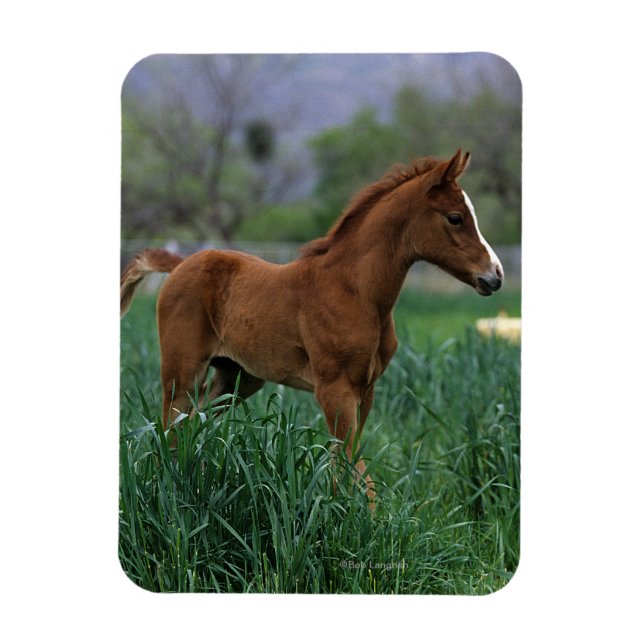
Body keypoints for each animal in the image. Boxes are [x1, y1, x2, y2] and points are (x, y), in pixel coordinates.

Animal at [120, 149, 504, 503]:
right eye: (455, 218)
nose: (495, 276)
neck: (356, 291)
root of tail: (180, 264)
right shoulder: (334, 388)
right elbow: (349, 466)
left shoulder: (365, 390)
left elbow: (349, 463)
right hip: (181, 372)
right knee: (170, 428)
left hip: (236, 378)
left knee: (194, 424)